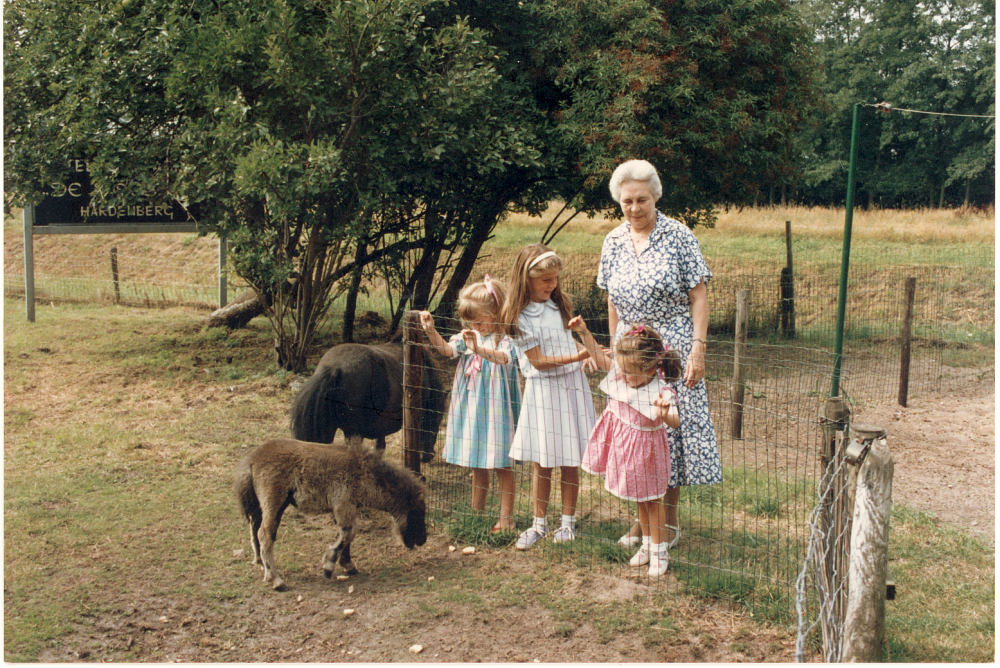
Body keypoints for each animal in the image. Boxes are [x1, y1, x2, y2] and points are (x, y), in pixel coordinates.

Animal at [235, 438, 430, 588]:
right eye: (418, 513)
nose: (422, 540)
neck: (364, 473)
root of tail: (252, 460)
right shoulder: (343, 505)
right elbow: (349, 533)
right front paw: (328, 566)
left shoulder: (344, 508)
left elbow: (346, 536)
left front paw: (348, 565)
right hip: (273, 501)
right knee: (265, 534)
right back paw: (276, 579)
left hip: (264, 505)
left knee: (255, 528)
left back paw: (260, 563)